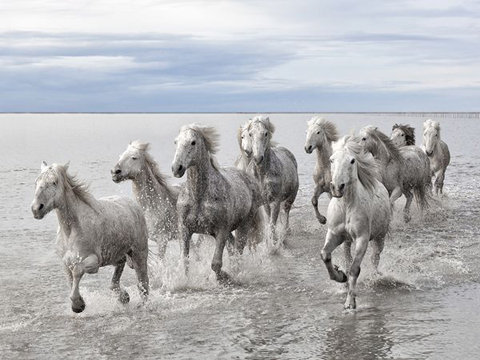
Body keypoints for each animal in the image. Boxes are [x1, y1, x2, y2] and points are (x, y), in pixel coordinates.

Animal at [31, 163, 149, 312]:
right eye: (36, 182)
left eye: (54, 182)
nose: (36, 209)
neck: (71, 231)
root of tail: (133, 204)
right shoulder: (66, 263)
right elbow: (71, 280)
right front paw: (78, 303)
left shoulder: (94, 262)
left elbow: (77, 271)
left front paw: (78, 305)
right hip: (116, 255)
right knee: (117, 275)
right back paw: (124, 297)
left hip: (139, 254)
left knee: (143, 283)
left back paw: (143, 305)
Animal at [172, 124, 262, 284]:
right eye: (176, 142)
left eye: (193, 142)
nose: (177, 168)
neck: (198, 197)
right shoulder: (184, 229)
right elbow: (184, 261)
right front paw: (185, 281)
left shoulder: (221, 230)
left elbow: (215, 264)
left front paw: (224, 277)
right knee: (232, 247)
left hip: (243, 225)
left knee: (238, 250)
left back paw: (236, 273)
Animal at [318, 136, 390, 310]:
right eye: (331, 160)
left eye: (352, 161)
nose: (337, 187)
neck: (346, 207)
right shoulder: (334, 234)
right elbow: (325, 255)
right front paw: (340, 276)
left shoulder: (362, 239)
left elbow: (354, 269)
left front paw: (350, 303)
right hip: (346, 241)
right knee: (347, 257)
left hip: (380, 237)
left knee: (375, 258)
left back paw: (374, 278)